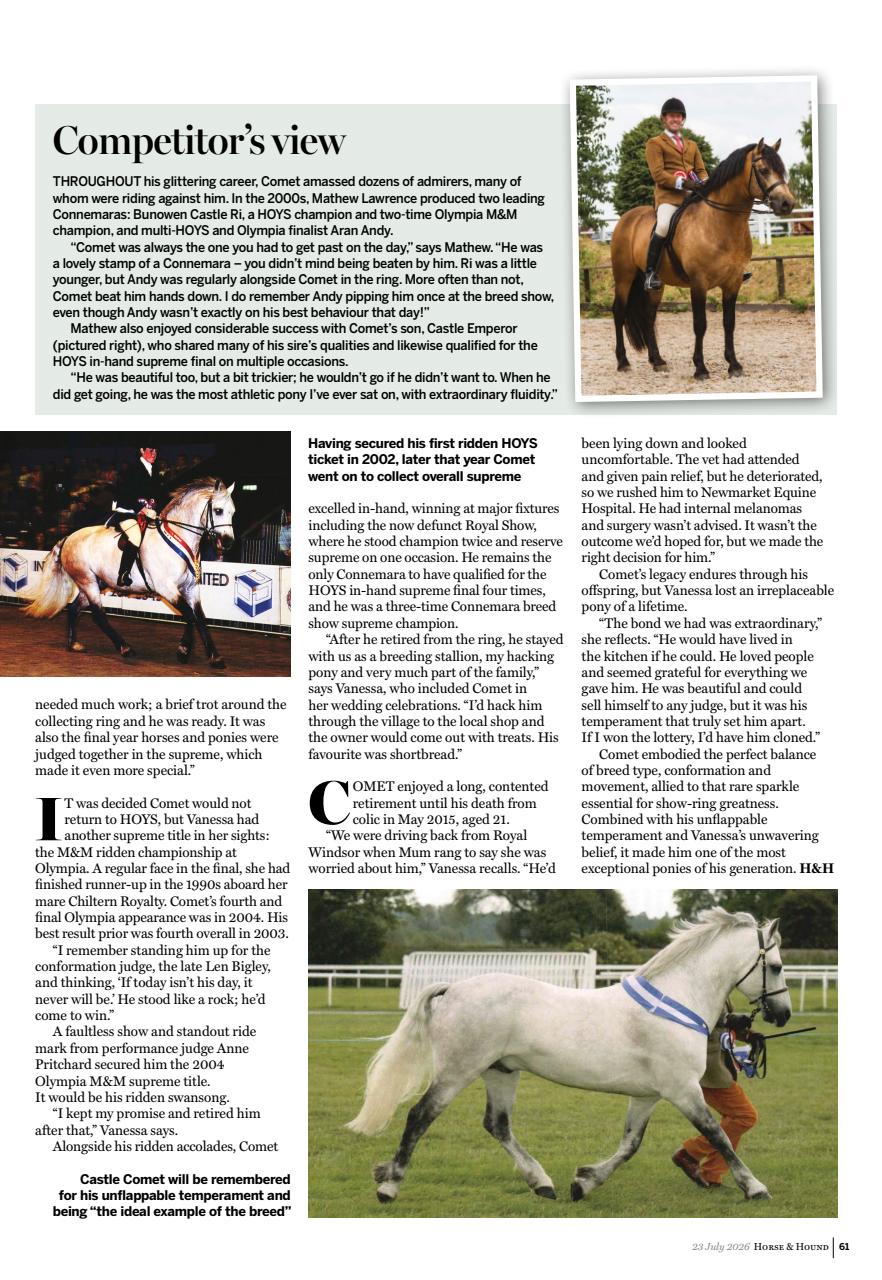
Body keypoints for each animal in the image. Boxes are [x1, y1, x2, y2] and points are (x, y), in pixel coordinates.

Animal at [23, 478, 236, 668]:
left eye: (232, 512)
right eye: (218, 510)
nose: (228, 542)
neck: (176, 538)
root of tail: (68, 537)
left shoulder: (190, 588)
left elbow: (200, 618)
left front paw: (215, 658)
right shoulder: (166, 588)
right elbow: (190, 616)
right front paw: (183, 651)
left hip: (94, 583)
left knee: (75, 608)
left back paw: (73, 644)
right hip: (87, 581)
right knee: (98, 615)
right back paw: (125, 648)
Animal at [347, 909, 791, 1204]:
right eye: (775, 965)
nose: (782, 1014)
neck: (674, 1001)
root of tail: (453, 988)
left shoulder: (648, 1095)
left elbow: (630, 1144)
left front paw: (584, 1181)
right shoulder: (682, 1091)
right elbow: (717, 1135)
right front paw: (755, 1187)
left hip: (501, 1072)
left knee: (497, 1125)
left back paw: (542, 1183)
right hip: (458, 1071)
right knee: (420, 1116)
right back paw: (389, 1185)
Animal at [610, 140, 796, 379]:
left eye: (782, 170)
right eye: (764, 170)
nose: (787, 204)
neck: (720, 223)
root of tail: (627, 218)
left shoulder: (733, 282)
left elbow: (729, 323)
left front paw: (734, 365)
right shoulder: (698, 283)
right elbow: (700, 324)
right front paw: (700, 368)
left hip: (656, 285)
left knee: (649, 316)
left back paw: (657, 361)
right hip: (624, 277)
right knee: (619, 312)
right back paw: (623, 362)